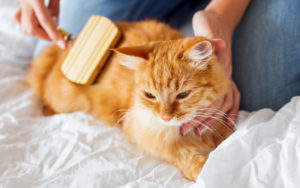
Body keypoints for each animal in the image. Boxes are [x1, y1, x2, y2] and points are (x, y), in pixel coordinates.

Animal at [26, 20, 232, 181]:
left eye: (183, 95)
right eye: (150, 96)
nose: (165, 117)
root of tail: (69, 45)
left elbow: (227, 136)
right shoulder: (148, 138)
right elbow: (187, 159)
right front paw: (204, 169)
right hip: (66, 98)